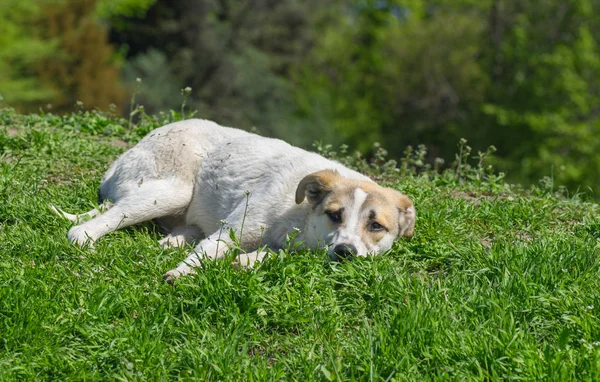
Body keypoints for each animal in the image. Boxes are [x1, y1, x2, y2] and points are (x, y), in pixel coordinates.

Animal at [55, 118, 412, 282]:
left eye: (376, 226)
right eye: (335, 214)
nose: (345, 253)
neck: (299, 216)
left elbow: (273, 256)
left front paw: (248, 261)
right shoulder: (233, 232)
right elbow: (205, 255)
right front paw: (180, 276)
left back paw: (176, 239)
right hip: (169, 192)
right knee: (84, 229)